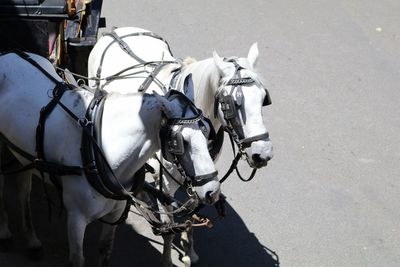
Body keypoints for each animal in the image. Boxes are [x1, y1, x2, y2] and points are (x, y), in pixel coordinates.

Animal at [0, 51, 220, 266]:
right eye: (180, 141)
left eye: (207, 131)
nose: (213, 191)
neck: (100, 148)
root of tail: (8, 54)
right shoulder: (76, 217)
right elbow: (77, 259)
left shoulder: (115, 213)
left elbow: (105, 250)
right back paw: (5, 232)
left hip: (23, 154)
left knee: (23, 189)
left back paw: (31, 240)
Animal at [88, 26, 272, 266]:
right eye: (231, 104)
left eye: (263, 98)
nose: (263, 153)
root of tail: (118, 31)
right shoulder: (167, 183)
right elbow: (170, 225)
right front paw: (168, 258)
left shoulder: (201, 175)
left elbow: (192, 211)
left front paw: (189, 250)